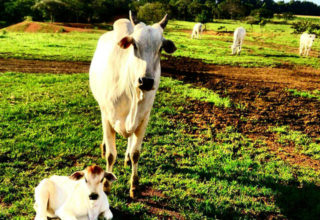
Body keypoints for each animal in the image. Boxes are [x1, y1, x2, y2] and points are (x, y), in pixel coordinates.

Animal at [89, 11, 176, 199]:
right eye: (134, 45)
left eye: (160, 48)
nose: (146, 81)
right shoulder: (107, 117)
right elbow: (110, 155)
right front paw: (106, 185)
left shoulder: (143, 119)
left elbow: (136, 153)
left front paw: (134, 186)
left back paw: (127, 157)